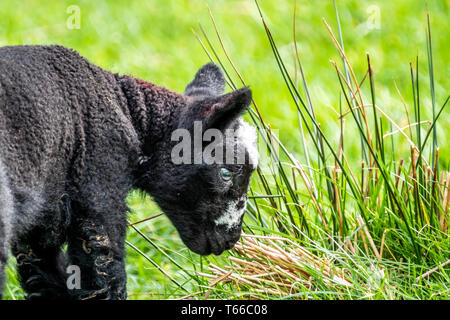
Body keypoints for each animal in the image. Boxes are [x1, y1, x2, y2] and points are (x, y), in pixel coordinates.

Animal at [0, 45, 258, 300]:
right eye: (226, 173)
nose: (231, 240)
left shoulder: (38, 231)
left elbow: (45, 280)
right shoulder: (99, 197)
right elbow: (105, 276)